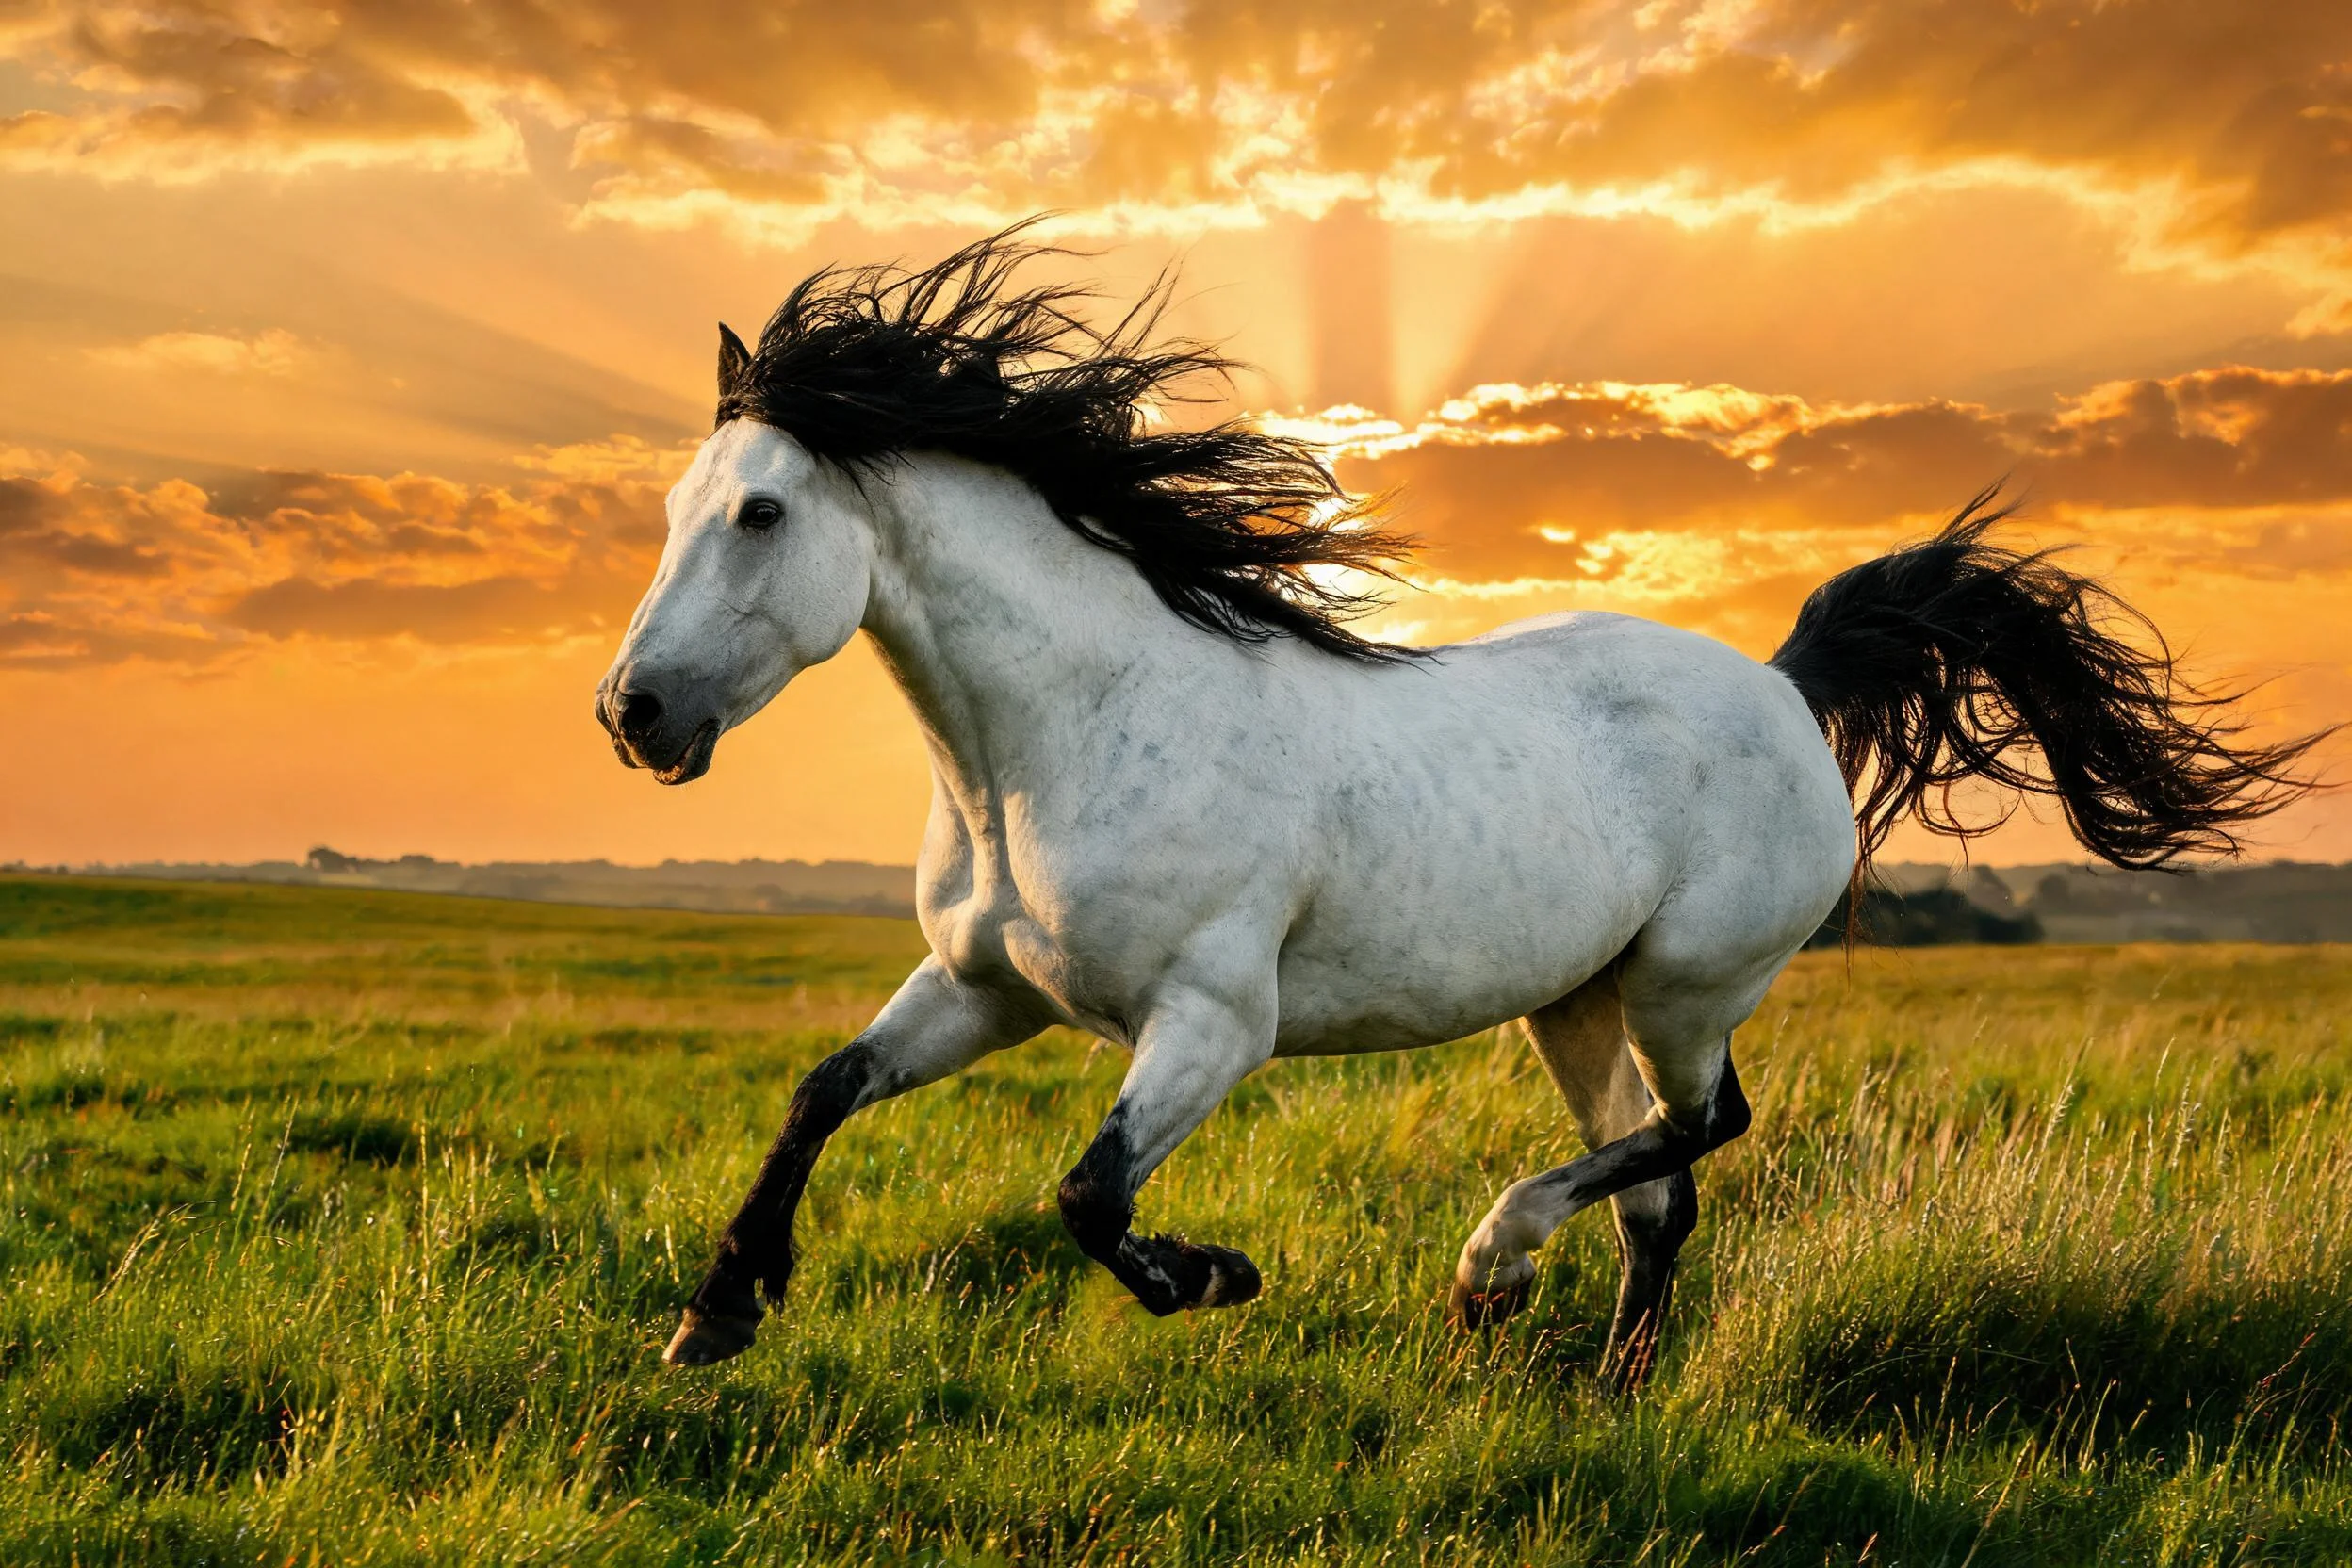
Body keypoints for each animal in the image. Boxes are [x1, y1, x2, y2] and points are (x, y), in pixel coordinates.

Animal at [596, 230, 2318, 1382]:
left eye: (760, 513)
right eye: (680, 505)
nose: (632, 714)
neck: (1063, 740)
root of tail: (1779, 680)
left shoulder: (1211, 1020)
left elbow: (1089, 1194)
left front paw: (1214, 1275)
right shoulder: (983, 988)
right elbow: (823, 1089)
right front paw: (717, 1310)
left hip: (1689, 983)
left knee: (1708, 1128)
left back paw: (1494, 1263)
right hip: (1578, 1000)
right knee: (1662, 1189)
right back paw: (1607, 1382)